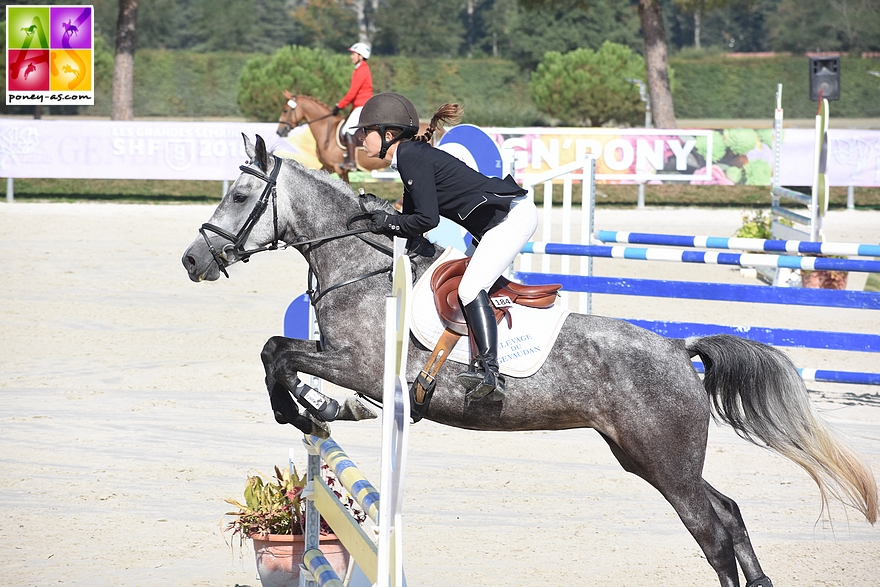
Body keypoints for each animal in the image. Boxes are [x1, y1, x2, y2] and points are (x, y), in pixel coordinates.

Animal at [182, 136, 876, 587]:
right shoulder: (351, 370)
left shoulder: (359, 366)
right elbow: (278, 352)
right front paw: (309, 412)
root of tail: (679, 350)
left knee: (710, 529)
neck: (362, 269)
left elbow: (279, 353)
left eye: (239, 195)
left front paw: (297, 411)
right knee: (727, 513)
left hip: (666, 463)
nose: (192, 260)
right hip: (647, 458)